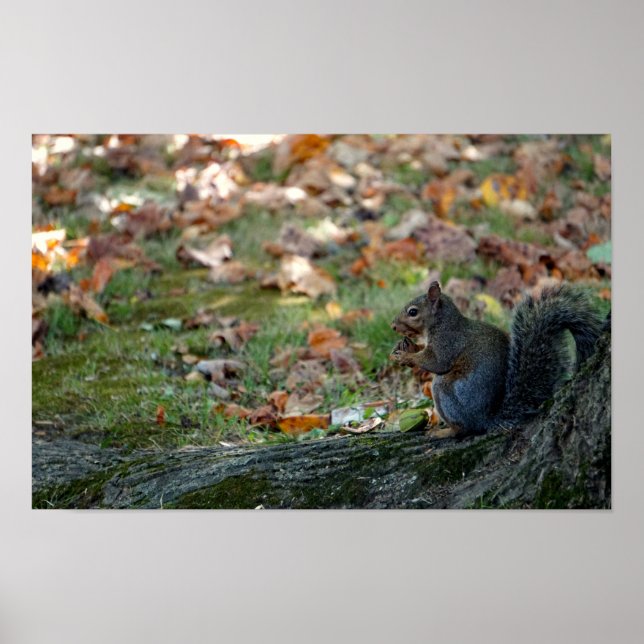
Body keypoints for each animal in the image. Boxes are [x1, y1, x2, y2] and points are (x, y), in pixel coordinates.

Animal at [390, 281, 603, 438]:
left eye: (413, 312)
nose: (393, 326)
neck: (441, 322)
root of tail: (486, 419)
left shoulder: (448, 341)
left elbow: (437, 362)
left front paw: (407, 356)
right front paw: (408, 347)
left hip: (446, 390)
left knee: (465, 429)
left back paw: (445, 431)